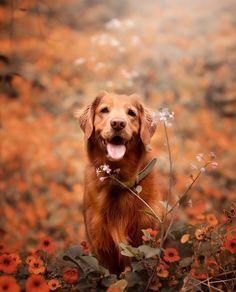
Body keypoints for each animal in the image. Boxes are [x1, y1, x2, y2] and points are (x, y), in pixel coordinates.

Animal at [75, 92, 162, 274]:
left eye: (131, 113)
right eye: (104, 110)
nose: (118, 123)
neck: (118, 181)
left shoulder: (147, 237)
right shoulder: (100, 245)